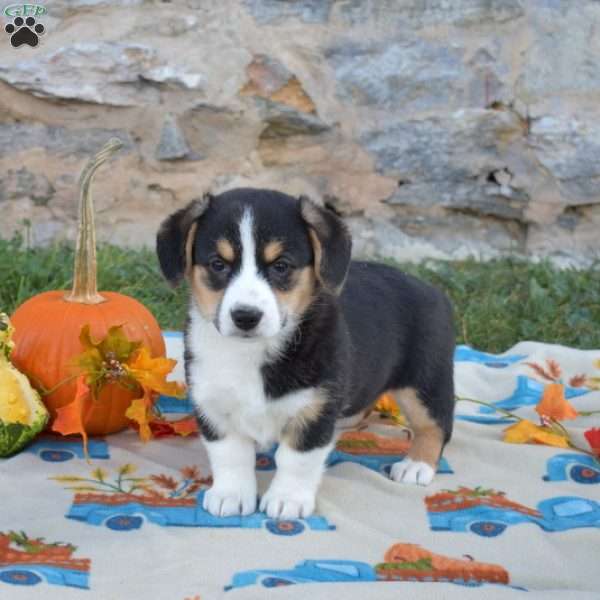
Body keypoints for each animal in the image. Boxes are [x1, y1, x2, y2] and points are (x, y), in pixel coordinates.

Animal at [156, 188, 454, 520]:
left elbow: (296, 460)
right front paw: (229, 495)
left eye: (281, 266)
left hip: (425, 380)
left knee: (436, 424)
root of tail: (433, 290)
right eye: (218, 264)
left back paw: (416, 465)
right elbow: (230, 455)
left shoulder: (314, 411)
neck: (252, 352)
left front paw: (287, 500)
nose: (246, 316)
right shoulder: (213, 406)